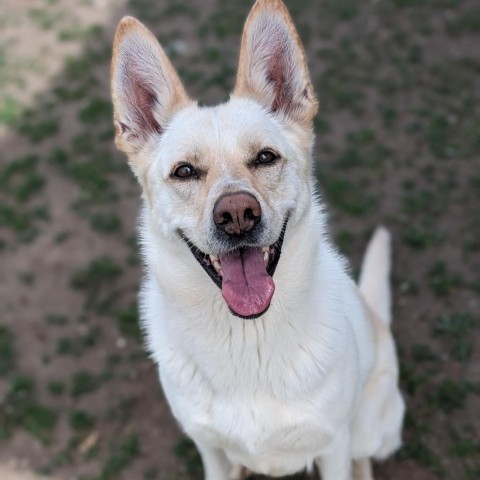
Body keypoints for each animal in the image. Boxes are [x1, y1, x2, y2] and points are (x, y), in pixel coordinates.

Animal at [109, 0, 404, 480]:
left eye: (265, 157)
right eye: (184, 171)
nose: (236, 215)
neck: (247, 338)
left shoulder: (334, 444)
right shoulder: (208, 447)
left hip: (369, 431)